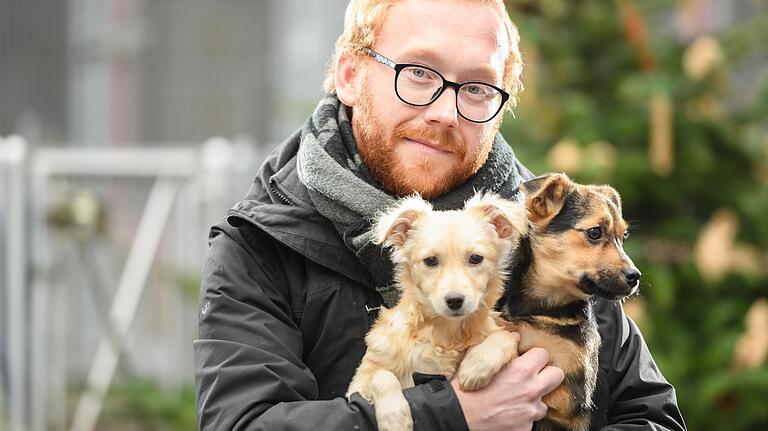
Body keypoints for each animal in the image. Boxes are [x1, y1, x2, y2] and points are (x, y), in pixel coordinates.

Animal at [348, 194, 528, 431]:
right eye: (430, 260)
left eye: (476, 258)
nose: (455, 301)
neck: (445, 332)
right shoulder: (358, 382)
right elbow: (383, 375)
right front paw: (395, 419)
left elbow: (504, 336)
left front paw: (476, 366)